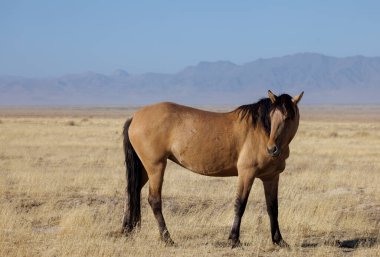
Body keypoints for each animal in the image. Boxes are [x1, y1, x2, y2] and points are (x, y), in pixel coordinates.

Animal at [123, 89, 304, 246]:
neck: (260, 133)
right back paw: (167, 238)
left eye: (288, 117)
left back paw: (127, 230)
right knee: (154, 200)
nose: (272, 149)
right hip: (156, 167)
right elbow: (240, 204)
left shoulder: (271, 177)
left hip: (144, 169)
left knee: (132, 192)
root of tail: (135, 117)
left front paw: (279, 240)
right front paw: (234, 239)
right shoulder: (246, 174)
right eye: (271, 117)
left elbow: (272, 208)